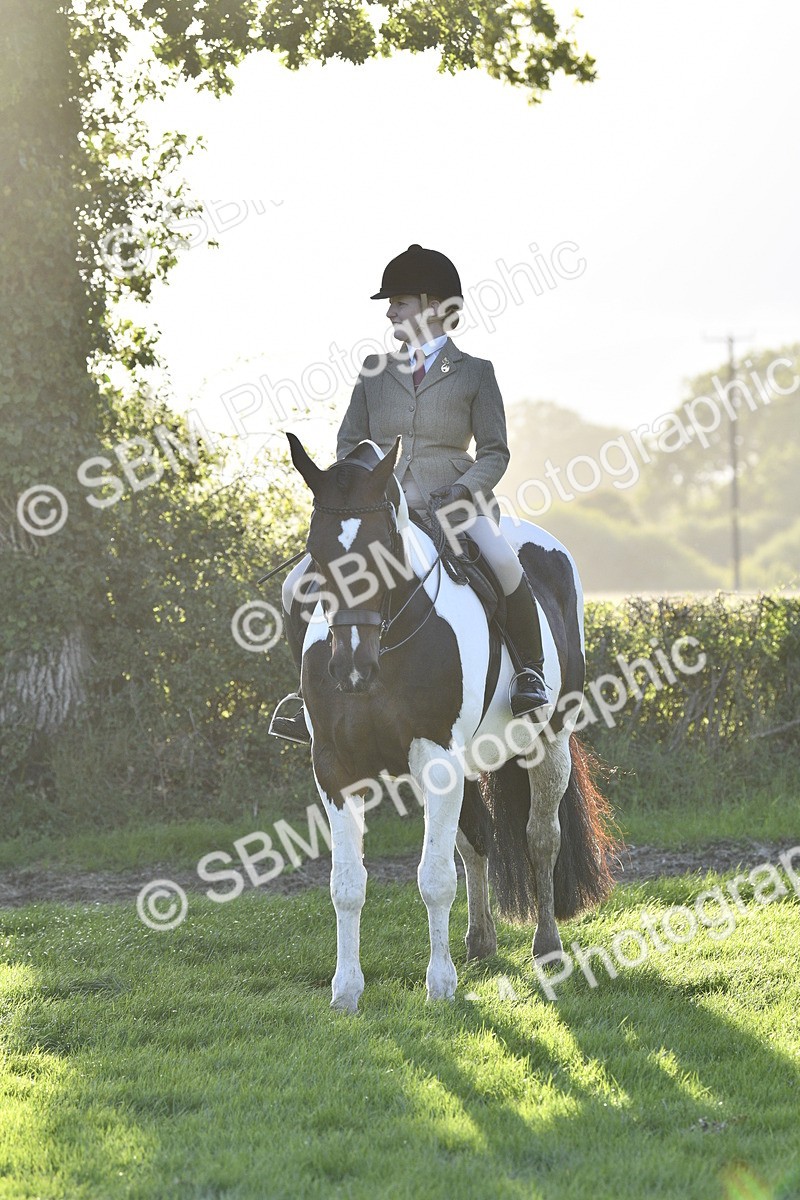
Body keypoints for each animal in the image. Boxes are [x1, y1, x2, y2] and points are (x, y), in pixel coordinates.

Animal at [284, 432, 615, 1013]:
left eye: (383, 549)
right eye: (316, 552)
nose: (350, 669)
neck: (390, 641)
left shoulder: (437, 759)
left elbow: (434, 877)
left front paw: (439, 986)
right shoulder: (335, 768)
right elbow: (346, 883)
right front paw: (346, 990)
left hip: (549, 740)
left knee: (541, 837)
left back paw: (546, 947)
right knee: (476, 841)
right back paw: (479, 941)